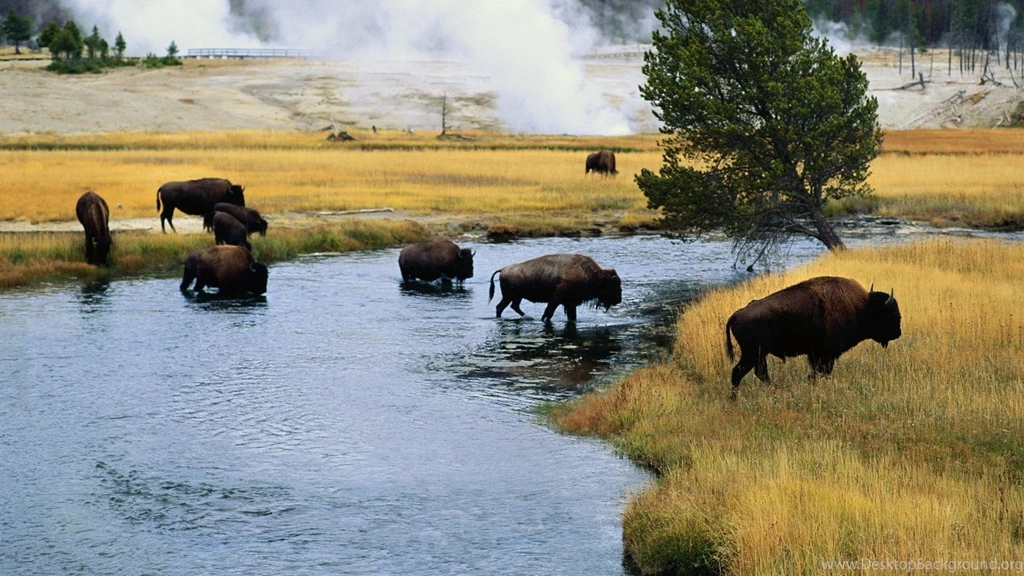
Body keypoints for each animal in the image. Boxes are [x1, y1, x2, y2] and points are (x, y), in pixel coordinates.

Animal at [489, 254, 621, 323]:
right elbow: (549, 313)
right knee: (501, 307)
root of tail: (503, 269)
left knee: (511, 306)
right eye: (613, 284)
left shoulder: (570, 304)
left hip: (516, 297)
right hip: (510, 296)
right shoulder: (556, 299)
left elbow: (572, 317)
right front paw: (543, 319)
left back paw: (527, 317)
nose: (618, 300)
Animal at [725, 276, 902, 399]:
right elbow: (823, 371)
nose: (898, 332)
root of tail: (736, 315)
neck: (861, 306)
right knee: (738, 372)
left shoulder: (815, 354)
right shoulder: (827, 354)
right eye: (891, 312)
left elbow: (816, 372)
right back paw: (734, 399)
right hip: (752, 354)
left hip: (759, 355)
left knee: (760, 373)